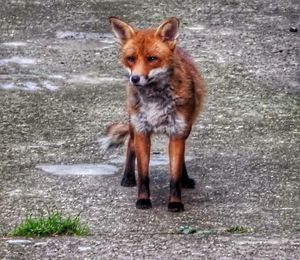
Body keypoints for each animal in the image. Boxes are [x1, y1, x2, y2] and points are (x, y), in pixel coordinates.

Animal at [103, 15, 206, 211]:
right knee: (130, 145)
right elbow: (144, 174)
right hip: (134, 124)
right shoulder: (142, 131)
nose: (135, 78)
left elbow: (174, 175)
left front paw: (175, 202)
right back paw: (128, 177)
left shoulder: (177, 132)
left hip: (186, 128)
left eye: (152, 58)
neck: (154, 100)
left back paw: (186, 179)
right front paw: (143, 200)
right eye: (131, 58)